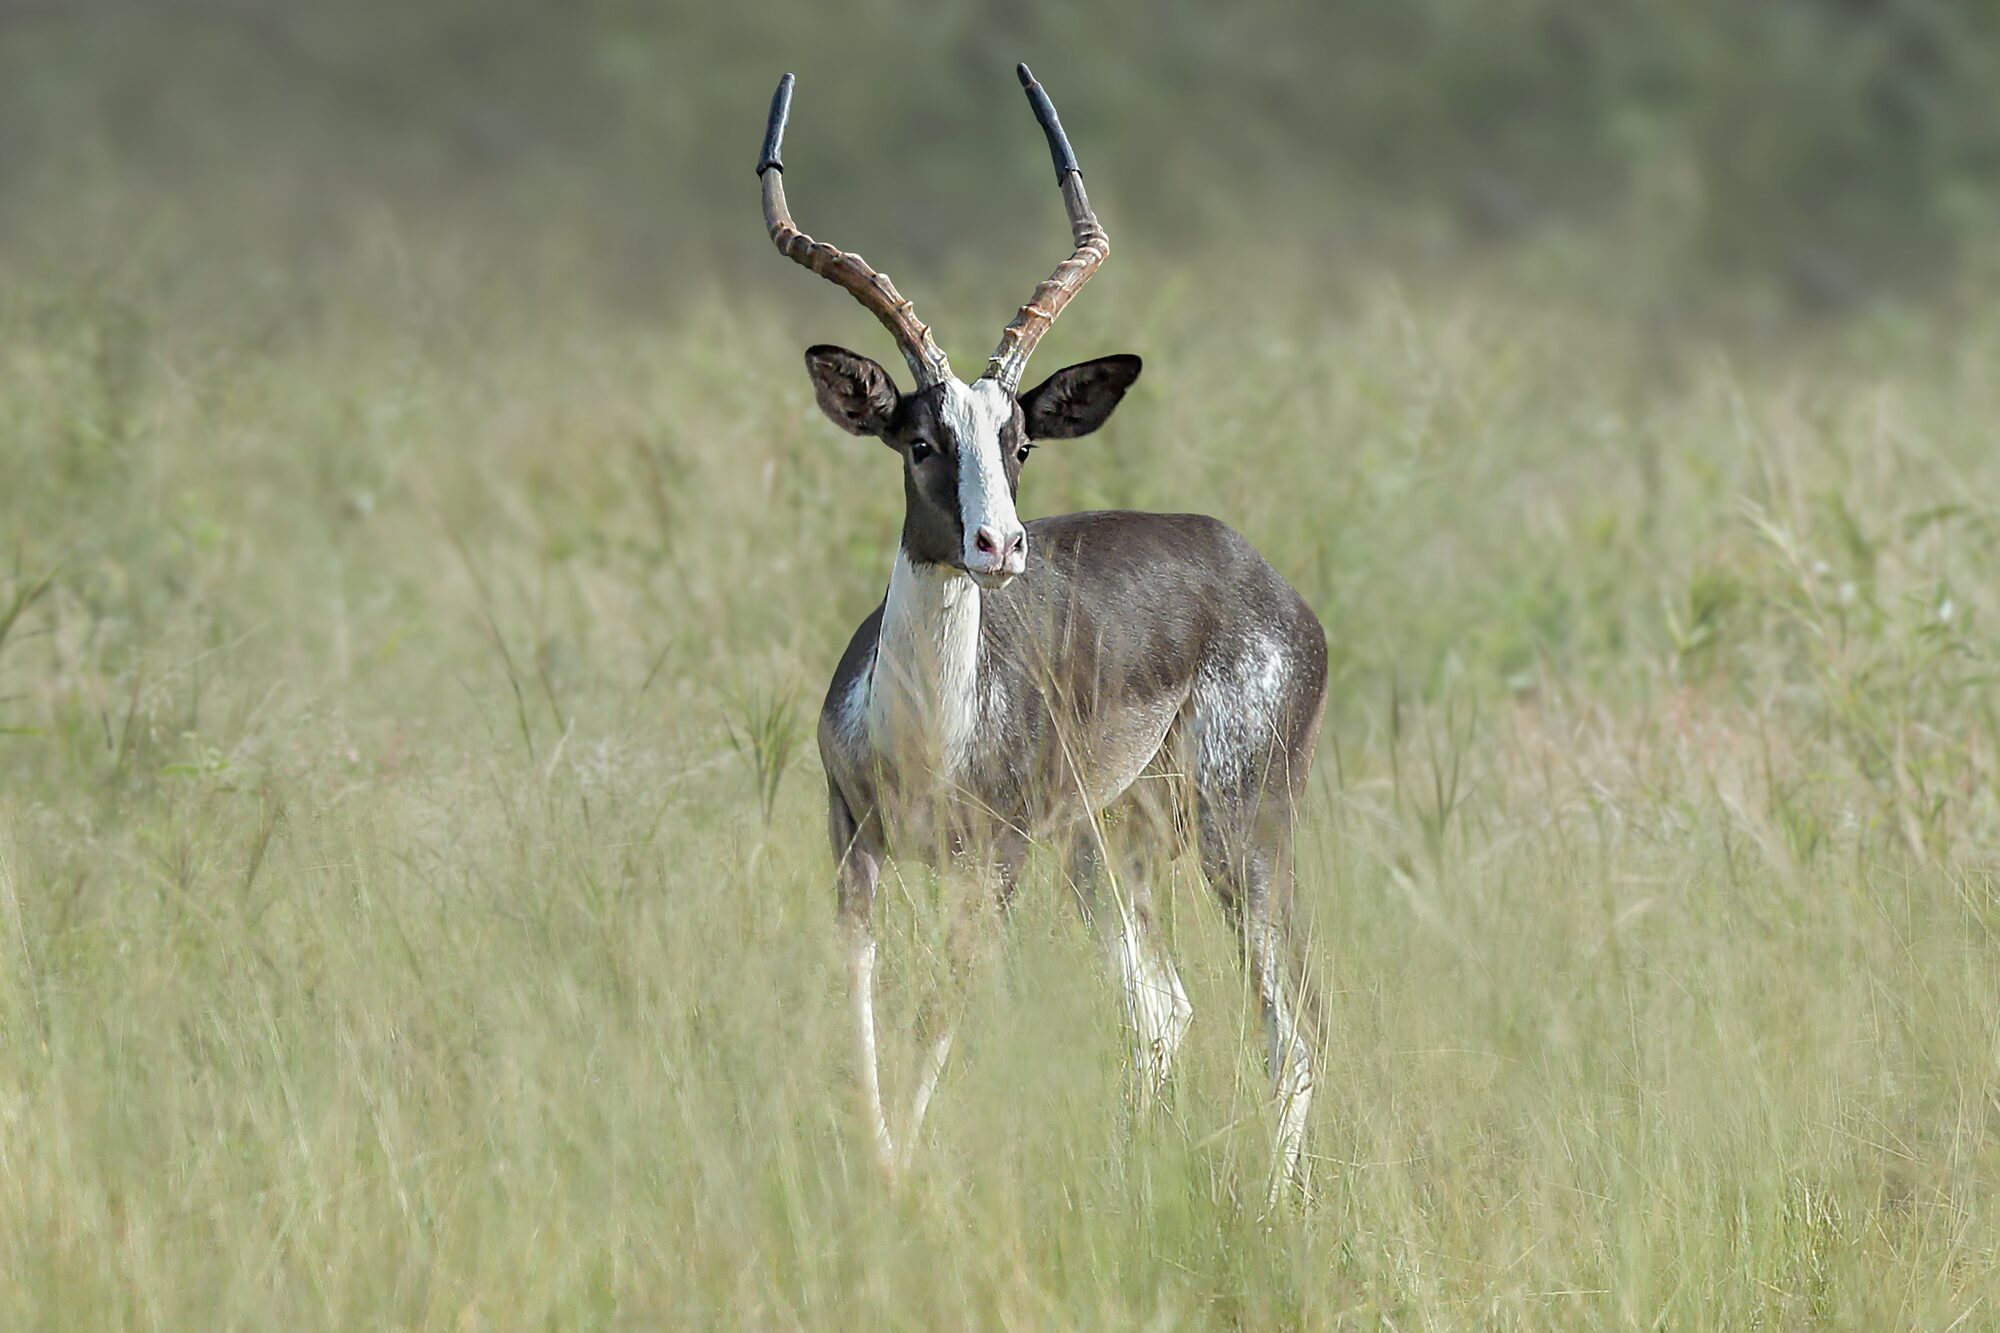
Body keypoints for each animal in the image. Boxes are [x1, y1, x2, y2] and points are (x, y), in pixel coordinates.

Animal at [759, 66, 1329, 1195]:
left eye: (1019, 441)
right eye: (921, 439)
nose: (999, 545)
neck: (926, 742)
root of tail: (1262, 574)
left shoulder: (998, 864)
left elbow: (936, 1015)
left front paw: (901, 1184)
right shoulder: (851, 841)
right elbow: (860, 1009)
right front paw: (875, 1162)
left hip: (1237, 828)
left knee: (1289, 1024)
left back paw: (1274, 1205)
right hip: (1105, 850)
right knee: (1164, 1013)